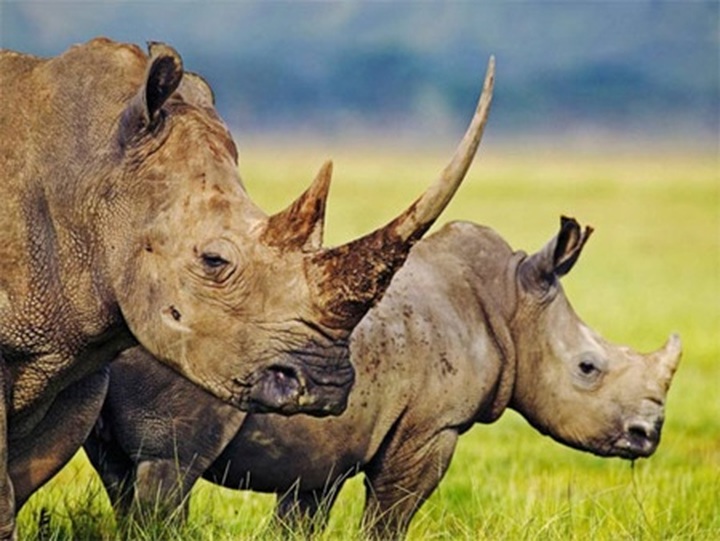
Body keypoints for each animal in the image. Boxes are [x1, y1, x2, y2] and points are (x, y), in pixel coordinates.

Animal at [86, 216, 681, 538]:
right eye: (588, 368)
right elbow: (390, 517)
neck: (511, 304)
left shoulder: (324, 448)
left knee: (120, 472)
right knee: (169, 467)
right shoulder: (432, 427)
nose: (647, 435)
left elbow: (300, 518)